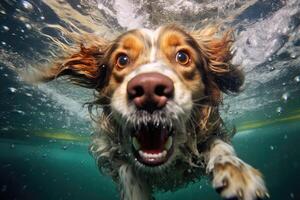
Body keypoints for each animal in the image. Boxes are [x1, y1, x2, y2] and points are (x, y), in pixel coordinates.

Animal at [27, 24, 268, 199]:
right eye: (122, 59)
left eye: (182, 56)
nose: (149, 89)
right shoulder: (112, 151)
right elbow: (128, 172)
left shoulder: (210, 132)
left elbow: (220, 146)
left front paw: (237, 173)